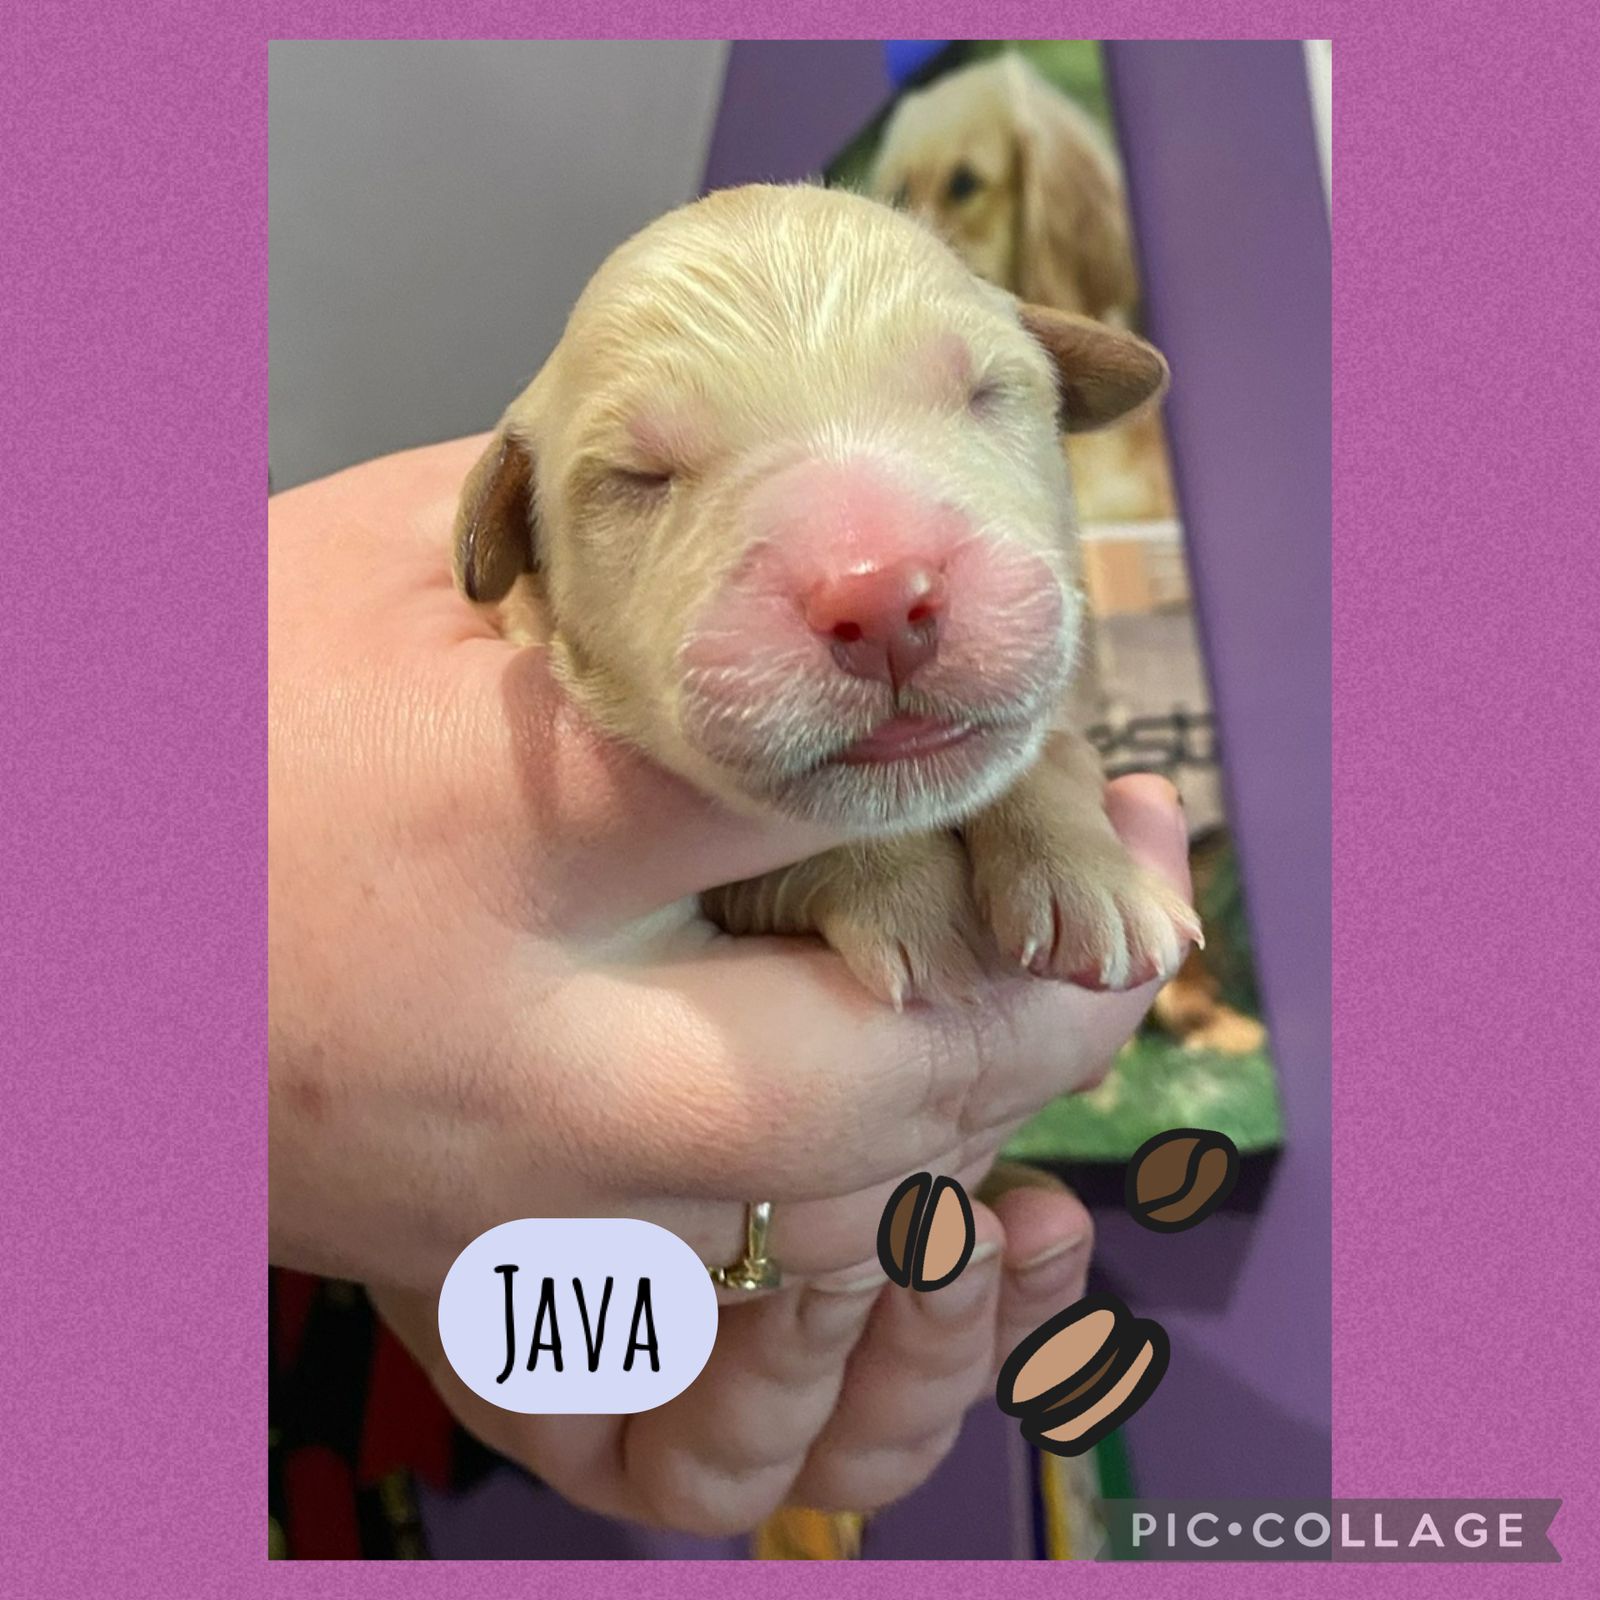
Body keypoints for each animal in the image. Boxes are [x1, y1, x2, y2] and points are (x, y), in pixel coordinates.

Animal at [453, 184, 1198, 1006]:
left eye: (986, 394)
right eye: (636, 477)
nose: (880, 605)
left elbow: (1048, 755)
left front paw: (1093, 878)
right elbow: (801, 859)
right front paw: (908, 903)